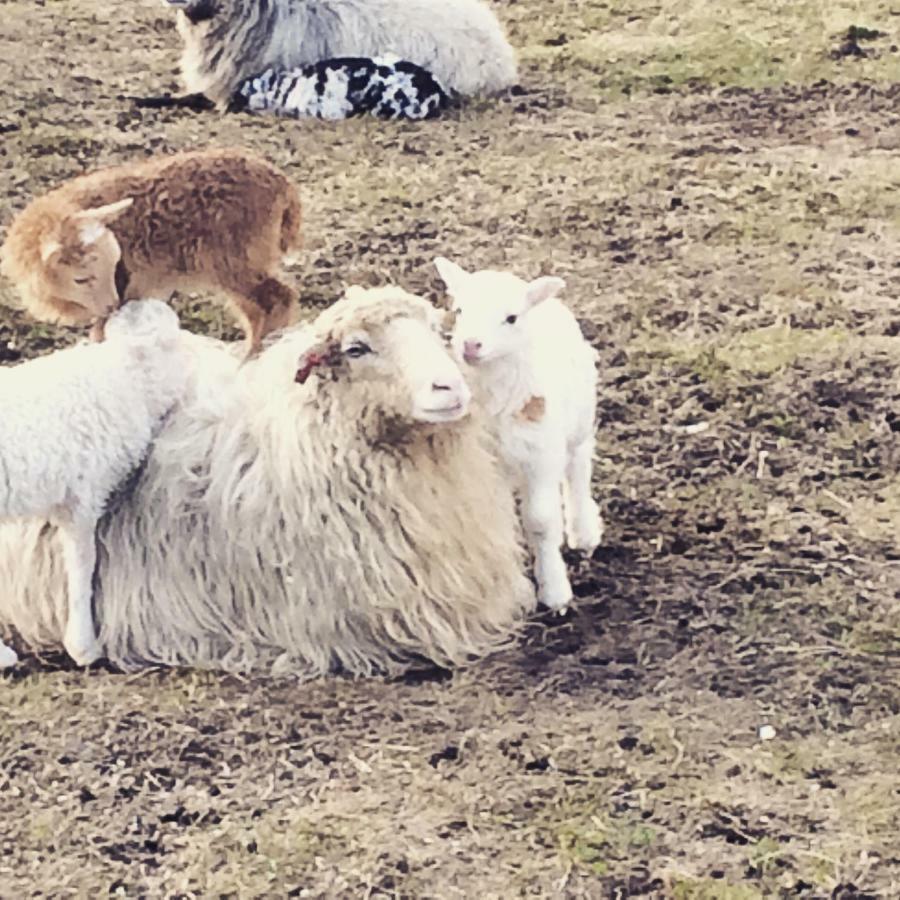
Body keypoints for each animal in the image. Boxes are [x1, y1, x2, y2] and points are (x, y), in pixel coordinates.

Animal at [432, 258, 600, 612]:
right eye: (460, 310)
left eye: (511, 318)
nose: (470, 345)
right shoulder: (486, 464)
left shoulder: (540, 458)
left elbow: (540, 521)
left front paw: (554, 591)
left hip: (578, 421)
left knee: (578, 468)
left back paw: (583, 532)